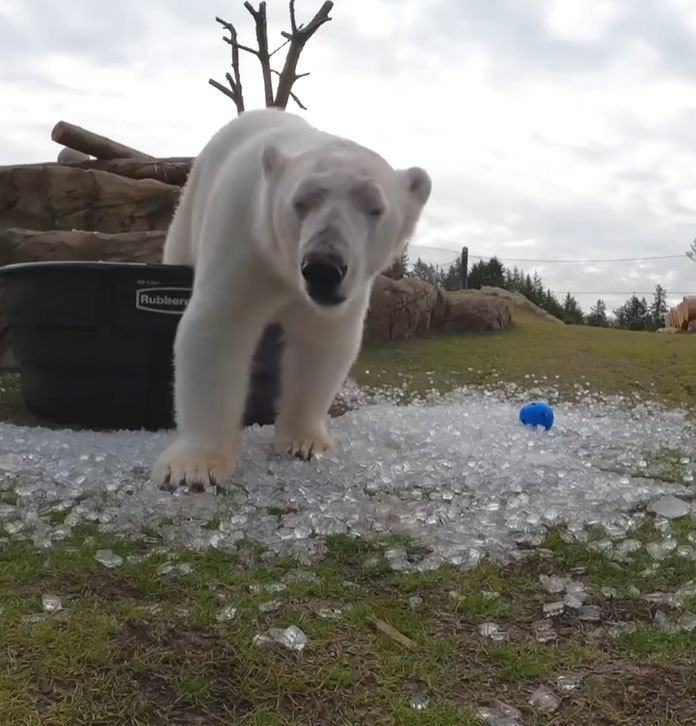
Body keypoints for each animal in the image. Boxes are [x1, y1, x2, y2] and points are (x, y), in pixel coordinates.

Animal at [154, 108, 430, 490]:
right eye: (300, 202)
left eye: (375, 208)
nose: (323, 268)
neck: (284, 273)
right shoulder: (245, 240)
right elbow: (218, 329)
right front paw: (195, 466)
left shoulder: (338, 299)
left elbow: (321, 343)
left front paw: (304, 443)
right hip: (191, 206)